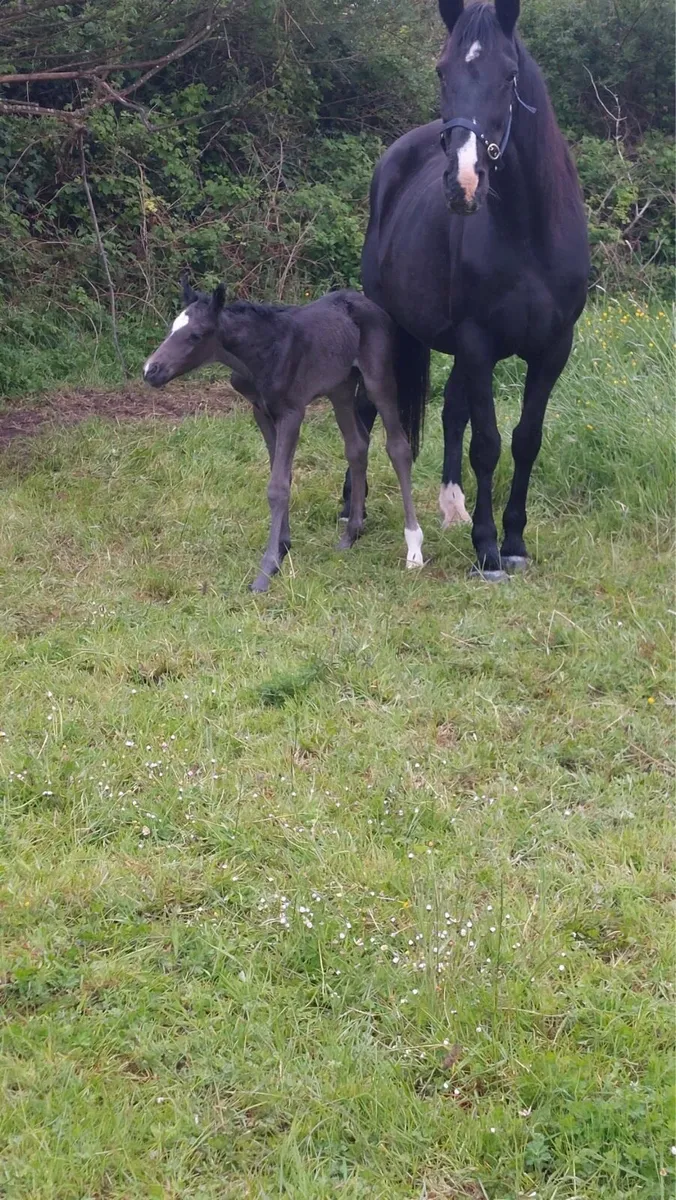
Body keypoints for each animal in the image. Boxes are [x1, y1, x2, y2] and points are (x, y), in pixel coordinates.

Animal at [142, 282, 426, 593]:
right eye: (172, 328)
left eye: (195, 335)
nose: (150, 370)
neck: (259, 353)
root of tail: (369, 304)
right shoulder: (261, 412)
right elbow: (282, 476)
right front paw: (282, 548)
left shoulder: (292, 412)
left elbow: (277, 487)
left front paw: (266, 570)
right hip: (340, 387)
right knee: (357, 446)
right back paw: (351, 534)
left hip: (378, 379)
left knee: (398, 448)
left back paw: (414, 549)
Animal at [341, 0, 590, 581]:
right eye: (442, 71)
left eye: (509, 76)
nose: (464, 183)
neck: (530, 232)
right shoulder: (479, 345)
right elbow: (489, 444)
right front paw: (488, 548)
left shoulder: (552, 350)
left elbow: (525, 440)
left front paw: (515, 541)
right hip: (386, 323)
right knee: (365, 408)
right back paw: (350, 509)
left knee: (451, 411)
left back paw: (450, 505)